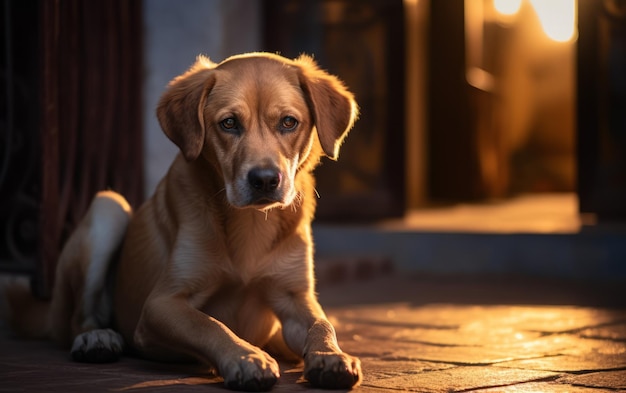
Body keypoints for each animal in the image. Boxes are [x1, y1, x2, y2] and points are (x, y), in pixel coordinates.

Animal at [3, 52, 360, 388]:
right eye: (229, 123)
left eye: (288, 122)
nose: (264, 180)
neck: (250, 225)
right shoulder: (161, 304)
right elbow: (208, 324)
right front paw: (246, 358)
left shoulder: (295, 298)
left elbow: (322, 324)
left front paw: (332, 356)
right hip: (108, 208)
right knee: (79, 319)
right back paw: (96, 338)